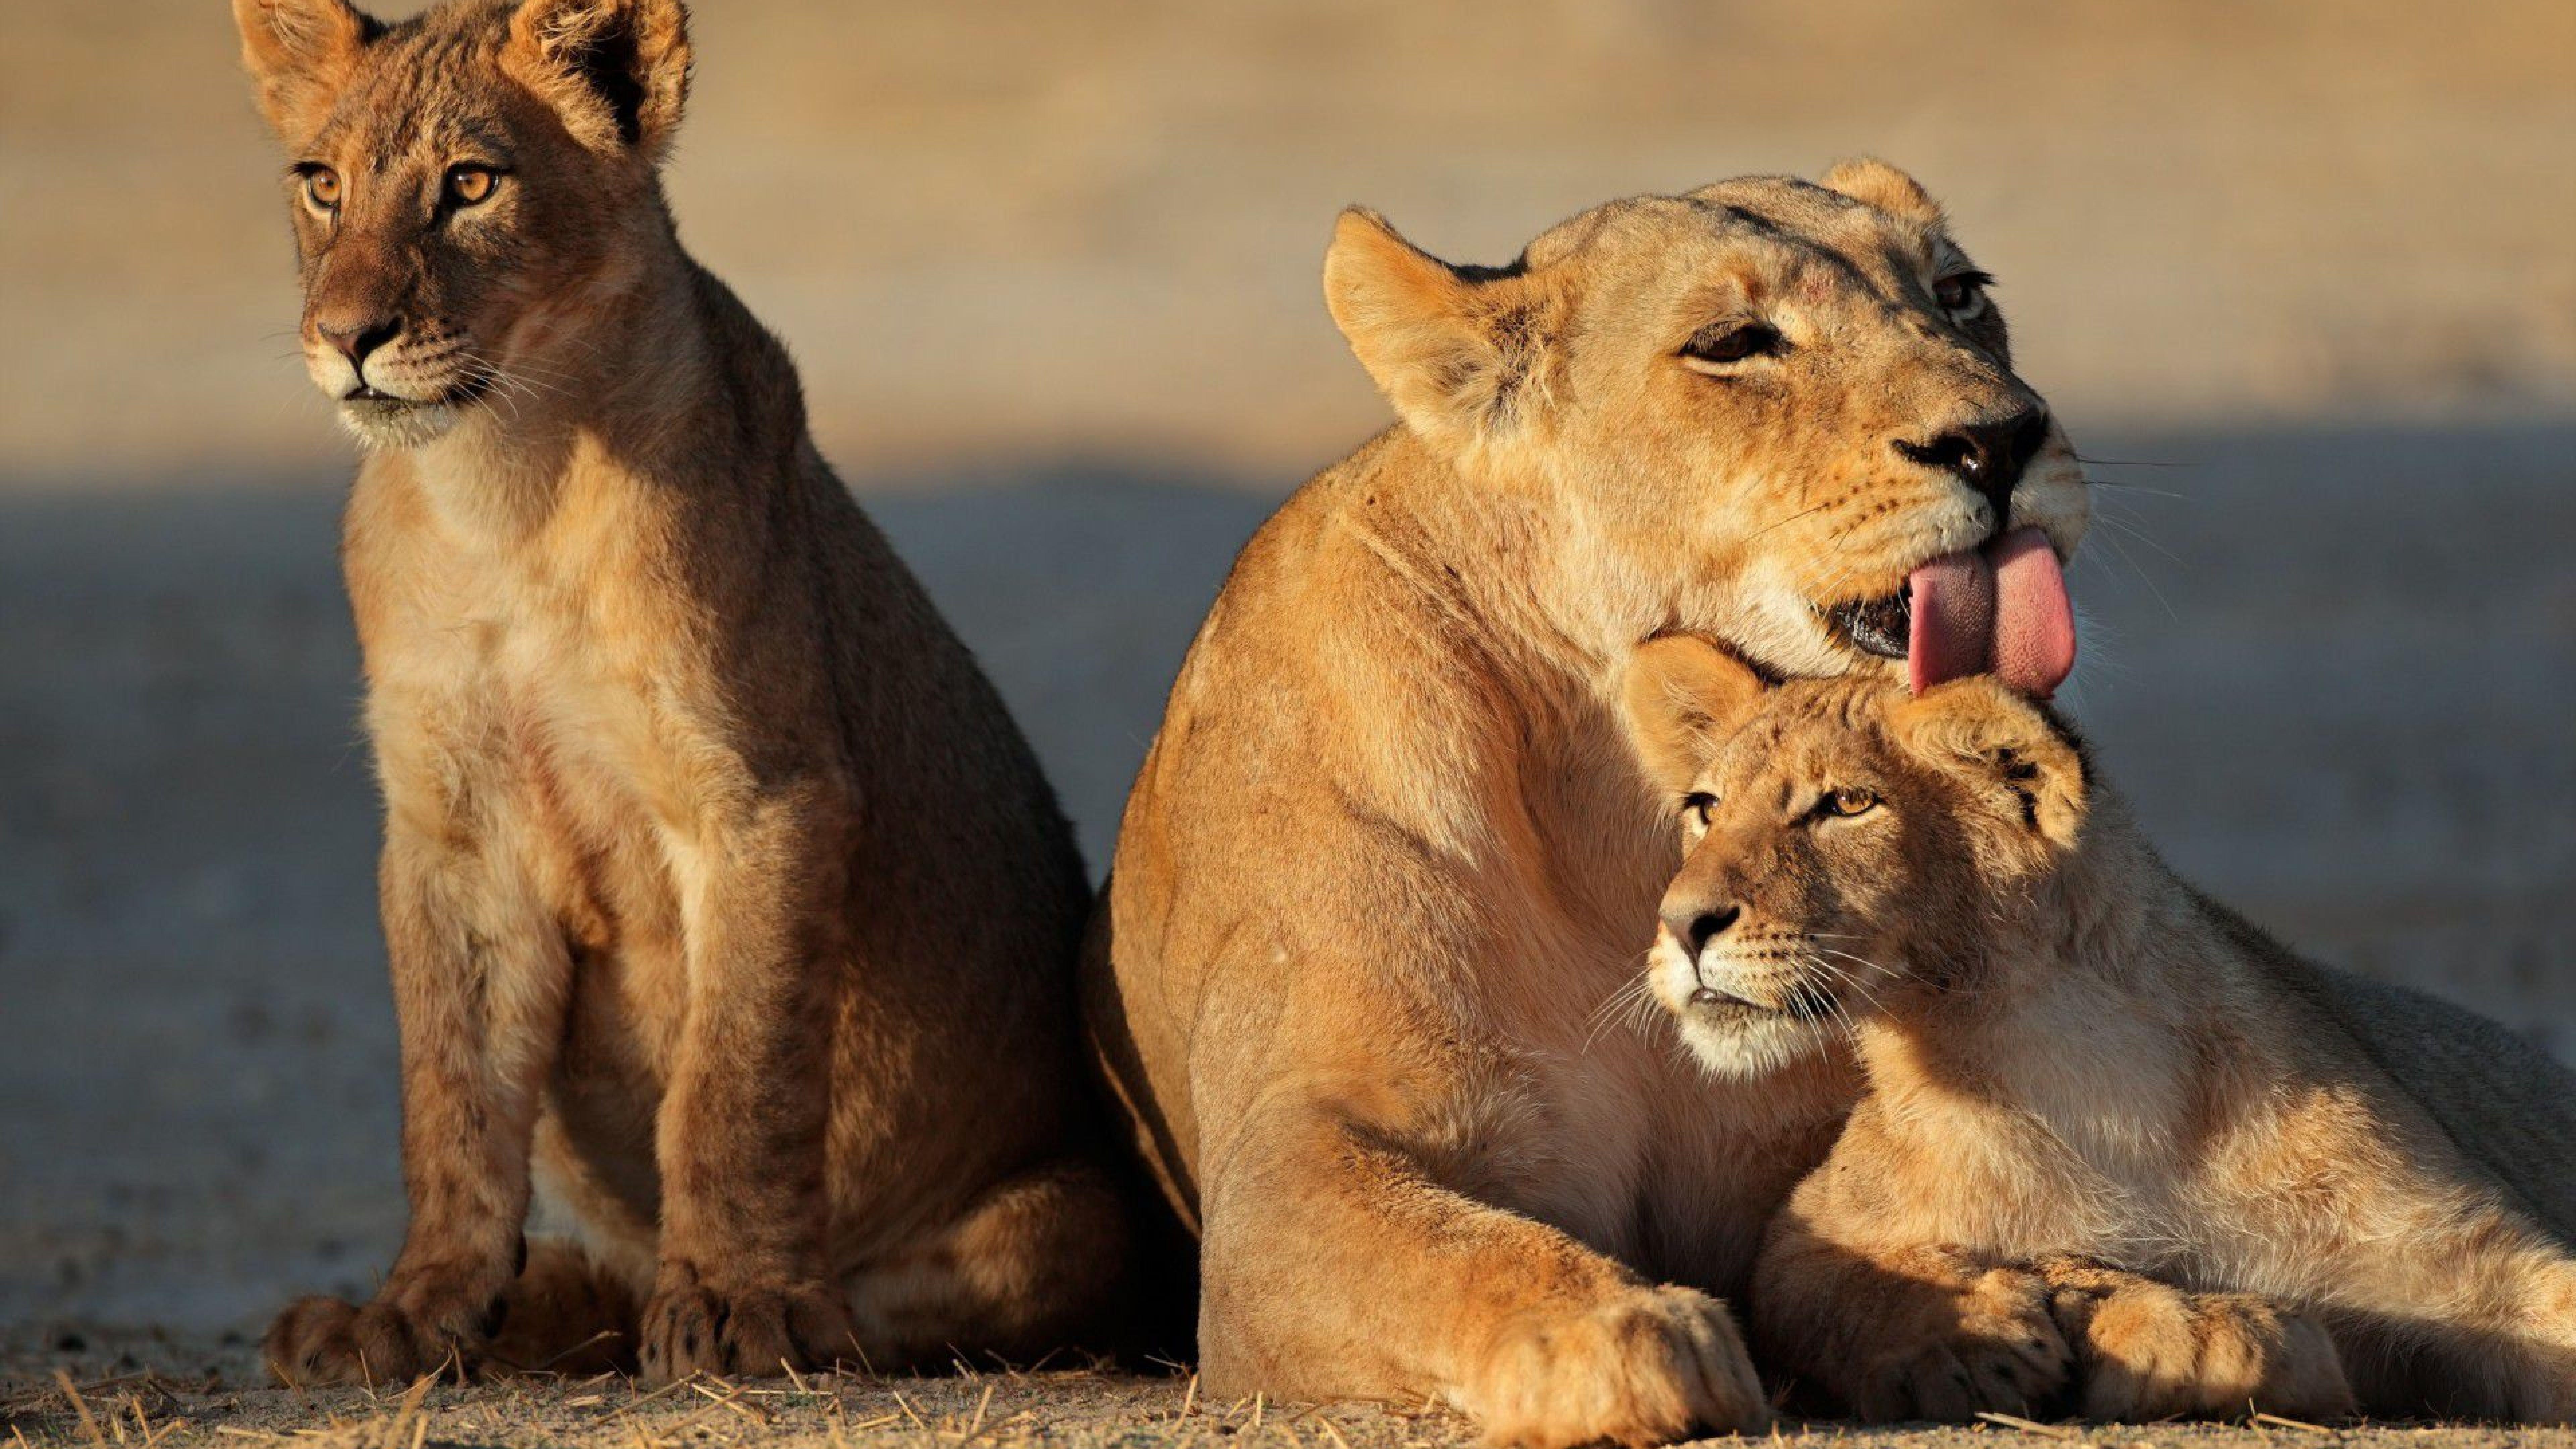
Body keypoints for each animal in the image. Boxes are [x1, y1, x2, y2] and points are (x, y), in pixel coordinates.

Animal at [234, 0, 1140, 1385]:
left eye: (472, 186)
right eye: (323, 185)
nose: (348, 339)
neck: (504, 490)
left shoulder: (763, 792)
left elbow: (735, 1079)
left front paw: (736, 1303)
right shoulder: (450, 825)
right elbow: (451, 1096)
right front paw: (411, 1310)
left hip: (1077, 1213)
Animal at [1081, 163, 2093, 1446]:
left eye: (1959, 293)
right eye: (1734, 344)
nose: (2003, 440)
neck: (1626, 810)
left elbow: (1851, 1223)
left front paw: (1965, 1320)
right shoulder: (1288, 1171)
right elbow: (1455, 1252)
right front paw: (1625, 1333)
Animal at [1622, 634, 2576, 1424]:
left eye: (1848, 804)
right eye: (1706, 807)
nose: (1681, 923)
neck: (2088, 1077)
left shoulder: (2474, 1262)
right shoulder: (1812, 1223)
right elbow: (1842, 1283)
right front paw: (1971, 1339)